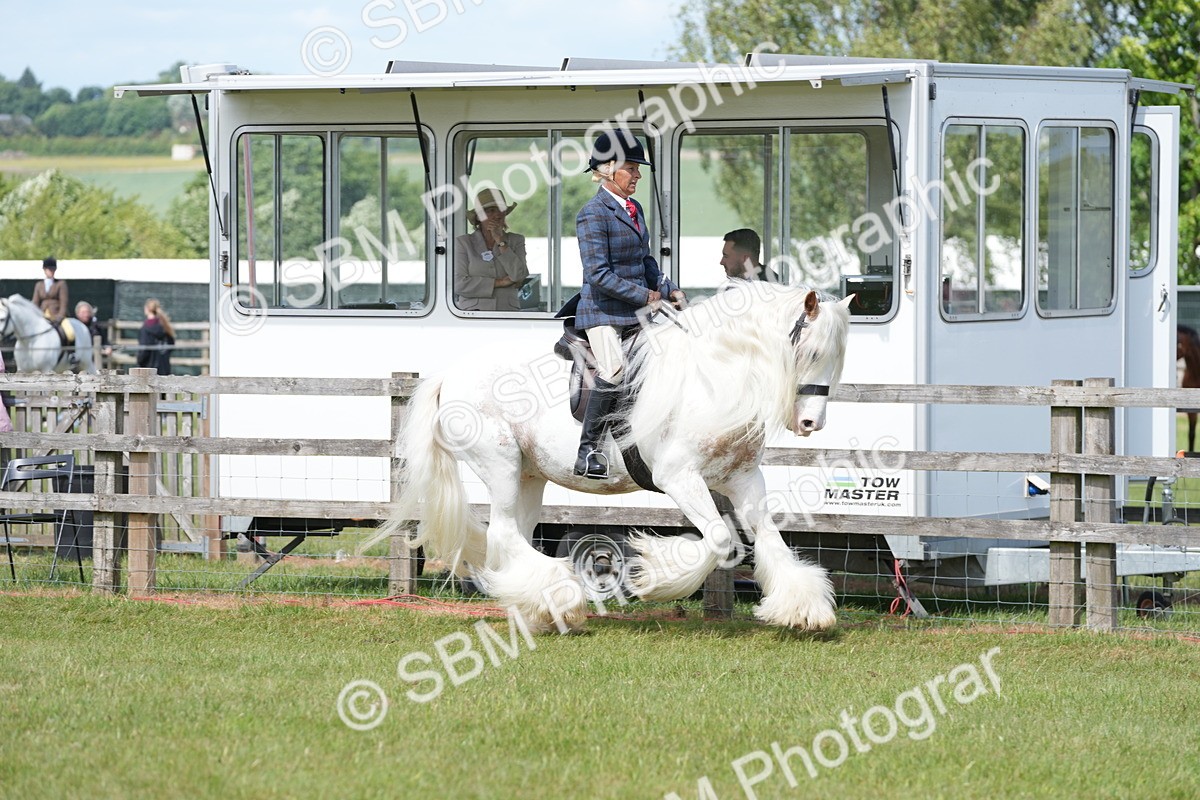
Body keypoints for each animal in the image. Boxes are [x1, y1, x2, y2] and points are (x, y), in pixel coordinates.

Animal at [375, 281, 853, 632]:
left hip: (529, 474)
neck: (716, 377)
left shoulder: (743, 478)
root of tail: (449, 374)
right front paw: (655, 577)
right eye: (810, 353)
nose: (811, 424)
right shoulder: (679, 477)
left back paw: (539, 609)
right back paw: (561, 599)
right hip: (501, 465)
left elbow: (768, 537)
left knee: (514, 538)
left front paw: (804, 610)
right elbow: (720, 539)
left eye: (836, 361)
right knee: (503, 534)